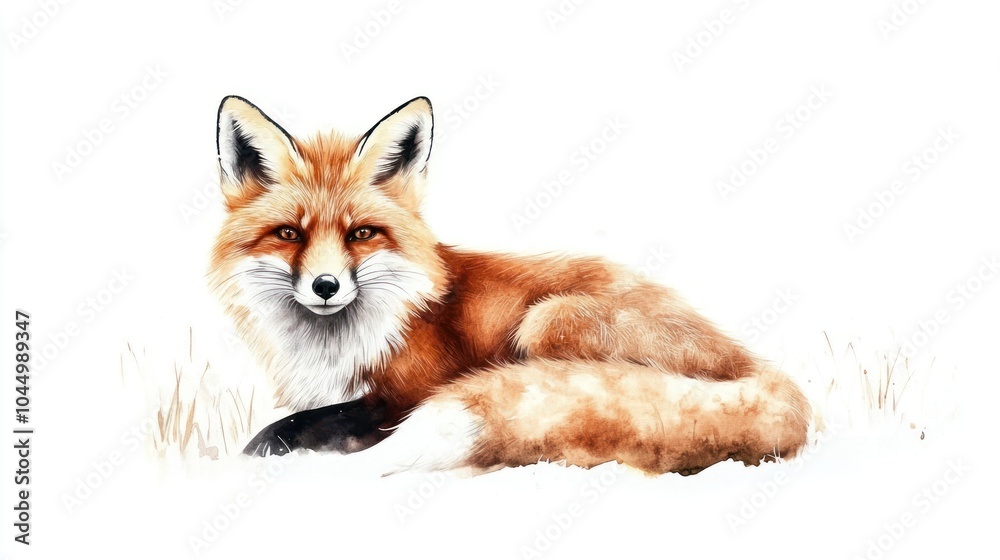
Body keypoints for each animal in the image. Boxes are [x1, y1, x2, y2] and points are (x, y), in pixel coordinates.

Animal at [210, 95, 811, 475]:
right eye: (289, 234)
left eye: (361, 234)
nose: (326, 286)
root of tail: (757, 367)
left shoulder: (409, 393)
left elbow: (308, 425)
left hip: (548, 319)